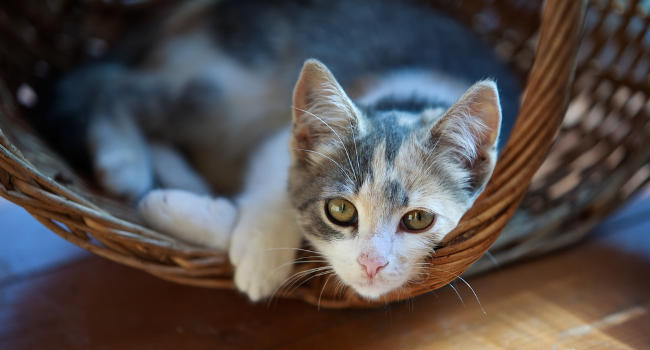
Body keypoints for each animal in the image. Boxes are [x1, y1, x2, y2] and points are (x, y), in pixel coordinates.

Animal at [48, 0, 520, 300]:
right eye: (341, 210)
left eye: (418, 219)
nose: (371, 264)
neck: (409, 99)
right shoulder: (282, 138)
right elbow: (277, 187)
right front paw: (259, 254)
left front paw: (187, 210)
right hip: (231, 86)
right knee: (113, 86)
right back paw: (124, 160)